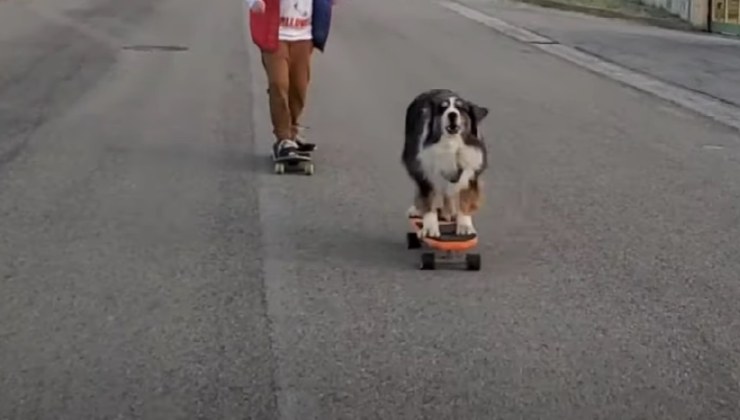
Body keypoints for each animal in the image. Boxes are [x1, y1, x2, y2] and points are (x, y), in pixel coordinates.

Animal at [402, 88, 488, 240]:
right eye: (443, 109)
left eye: (461, 108)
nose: (452, 114)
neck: (451, 144)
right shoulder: (425, 171)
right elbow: (429, 201)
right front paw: (430, 228)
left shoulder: (470, 173)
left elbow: (465, 199)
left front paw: (465, 226)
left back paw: (448, 212)